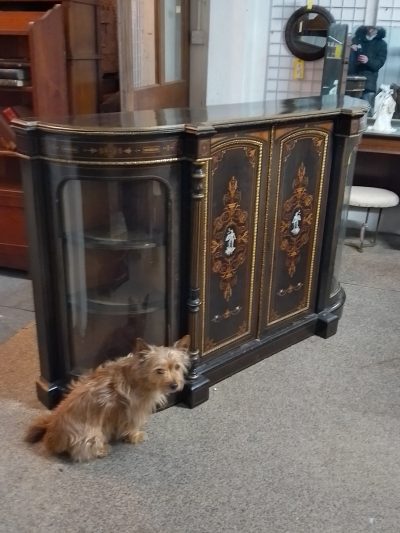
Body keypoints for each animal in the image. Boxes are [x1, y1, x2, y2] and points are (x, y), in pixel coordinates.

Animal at [25, 334, 191, 460]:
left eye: (177, 367)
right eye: (159, 370)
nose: (175, 385)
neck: (139, 375)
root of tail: (52, 436)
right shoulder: (133, 410)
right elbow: (132, 425)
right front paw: (135, 436)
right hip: (92, 435)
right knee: (81, 451)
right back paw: (102, 449)